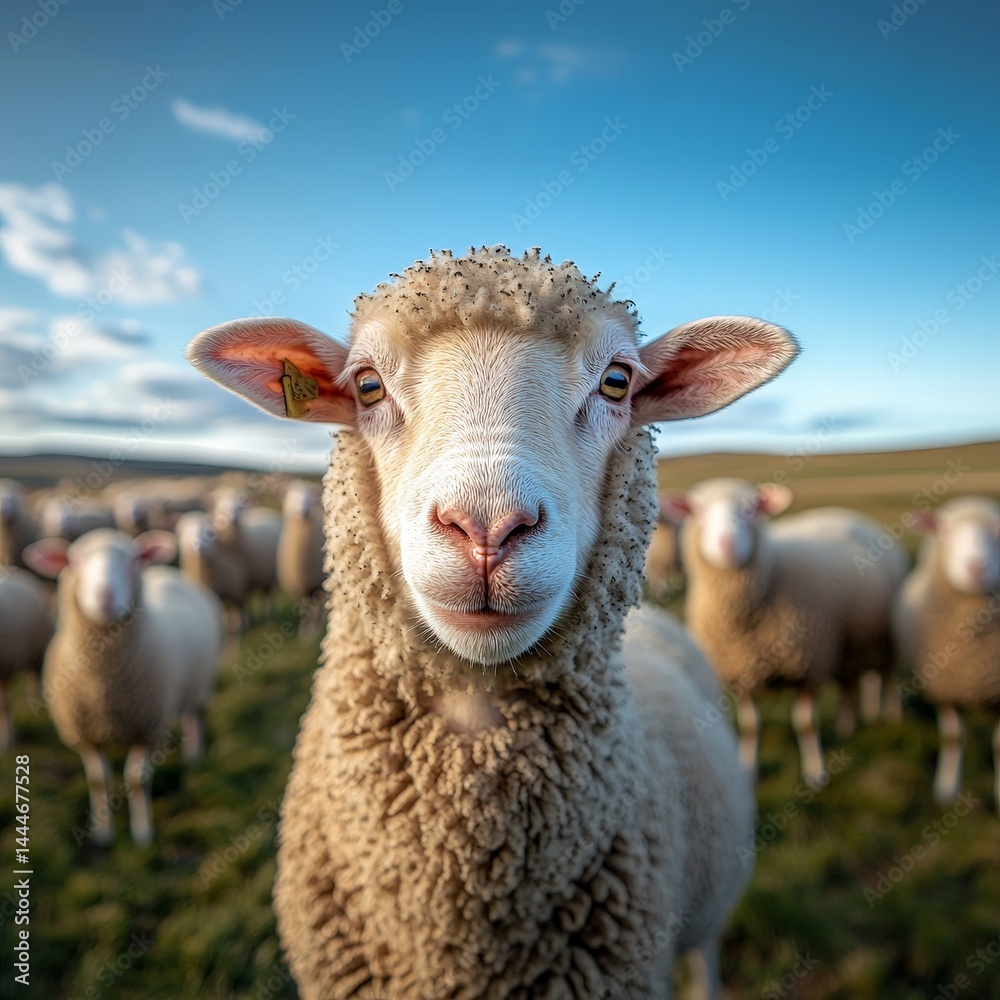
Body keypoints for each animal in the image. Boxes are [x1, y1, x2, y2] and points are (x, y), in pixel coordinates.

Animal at [22, 529, 223, 845]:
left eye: (133, 560)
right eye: (74, 561)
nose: (104, 596)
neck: (105, 689)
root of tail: (165, 570)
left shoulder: (148, 728)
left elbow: (137, 780)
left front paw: (142, 833)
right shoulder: (85, 733)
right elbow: (98, 780)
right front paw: (103, 832)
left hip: (200, 683)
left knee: (195, 715)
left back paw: (193, 755)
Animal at [277, 480, 326, 634]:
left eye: (310, 499)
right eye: (292, 497)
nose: (305, 512)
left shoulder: (318, 584)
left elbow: (315, 608)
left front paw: (313, 631)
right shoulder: (298, 587)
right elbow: (304, 607)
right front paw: (304, 630)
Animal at [670, 478, 907, 785]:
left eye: (752, 509)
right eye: (697, 511)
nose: (727, 545)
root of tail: (846, 513)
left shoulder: (810, 666)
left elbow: (806, 724)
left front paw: (815, 772)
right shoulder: (740, 674)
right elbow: (751, 726)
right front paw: (748, 768)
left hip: (884, 636)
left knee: (887, 674)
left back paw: (892, 715)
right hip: (849, 644)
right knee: (848, 684)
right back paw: (846, 725)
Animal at [892, 496, 1000, 812]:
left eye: (998, 531)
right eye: (946, 532)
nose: (976, 568)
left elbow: (999, 744)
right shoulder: (944, 688)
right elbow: (953, 738)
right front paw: (945, 788)